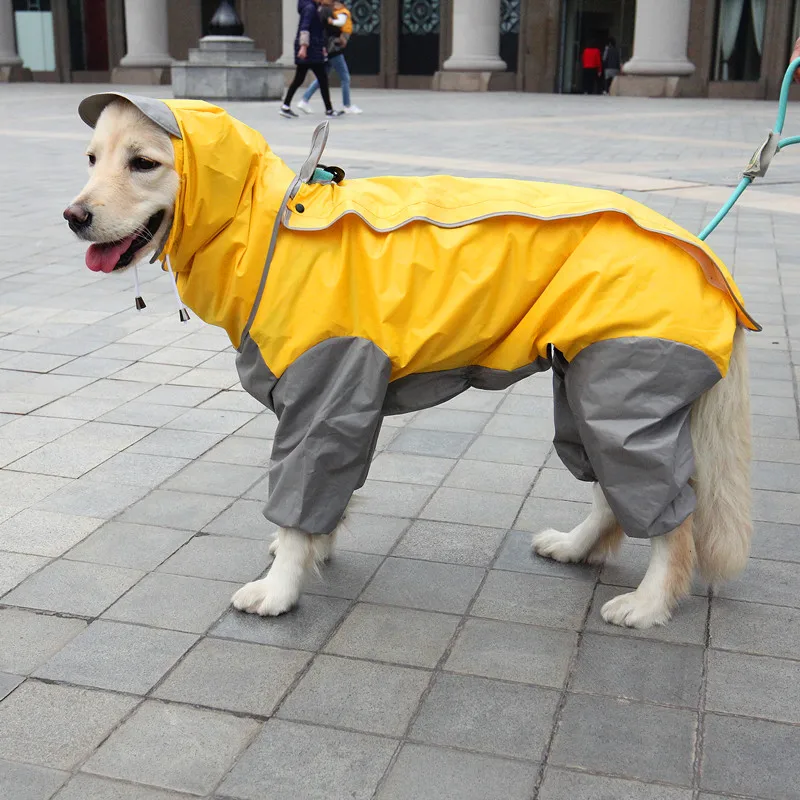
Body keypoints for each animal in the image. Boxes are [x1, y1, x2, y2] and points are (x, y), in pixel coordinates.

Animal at [65, 94, 752, 628]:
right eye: (92, 159)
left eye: (144, 163)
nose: (73, 216)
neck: (269, 232)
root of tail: (709, 259)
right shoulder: (340, 401)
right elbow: (324, 498)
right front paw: (313, 552)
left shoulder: (325, 389)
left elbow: (298, 500)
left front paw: (280, 588)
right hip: (588, 389)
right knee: (616, 492)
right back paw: (576, 548)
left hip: (622, 388)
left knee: (671, 517)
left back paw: (650, 603)